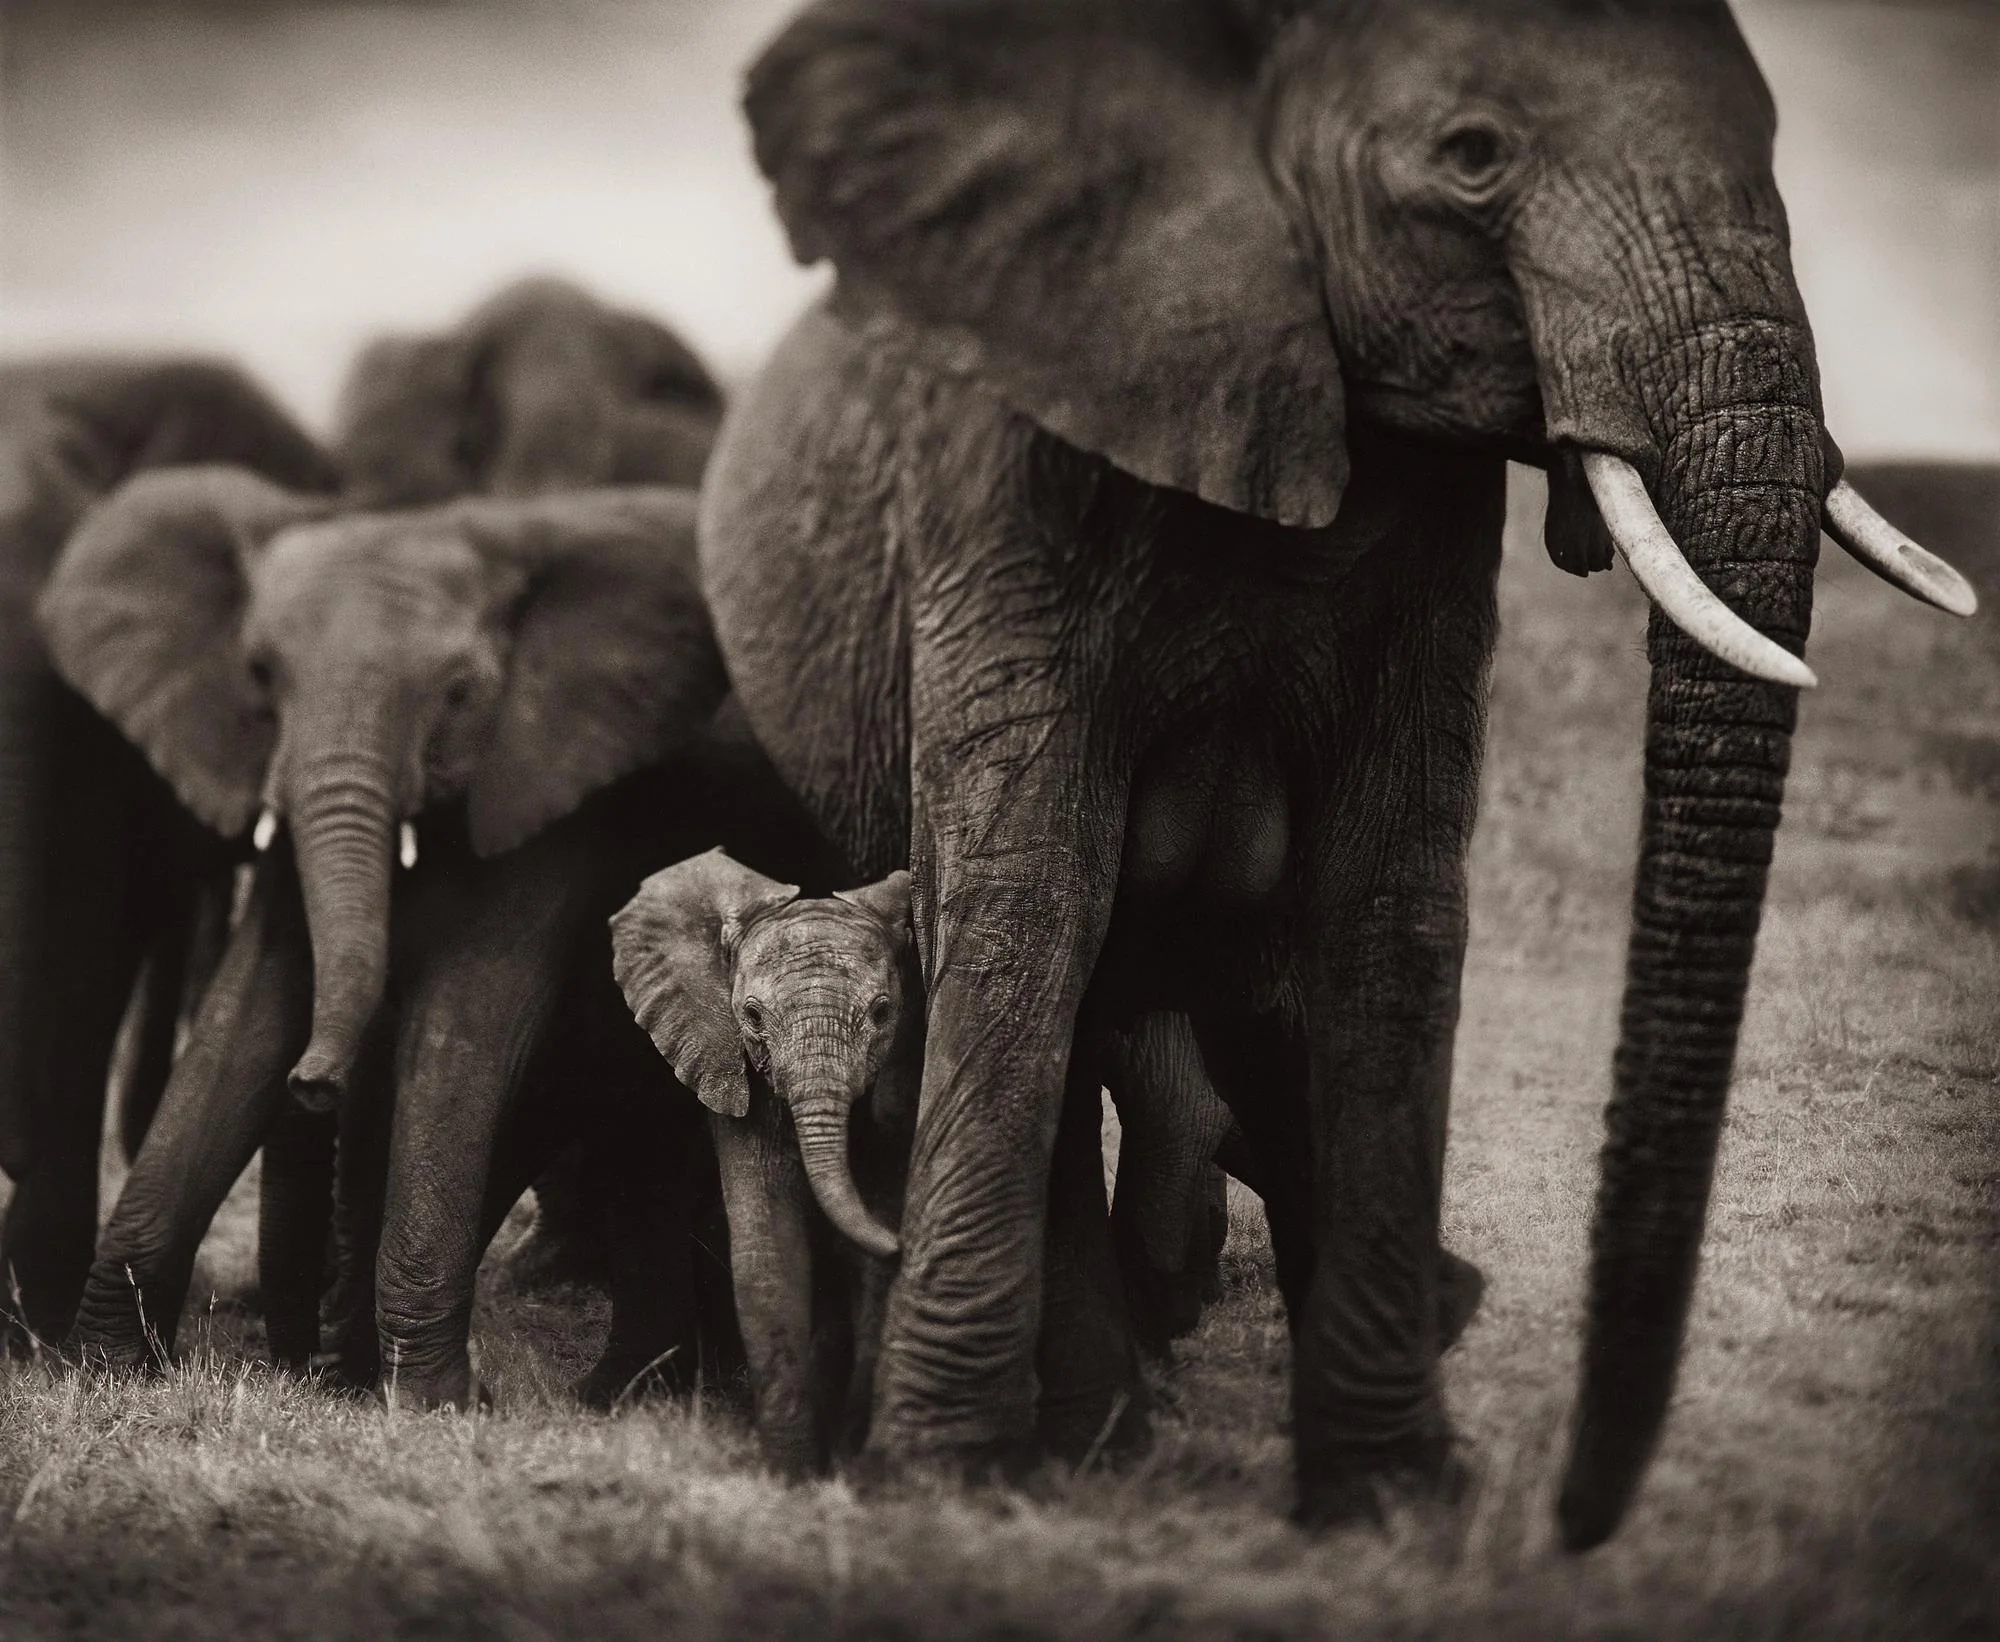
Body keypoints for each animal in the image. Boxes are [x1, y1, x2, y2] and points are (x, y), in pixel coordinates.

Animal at [39, 471, 736, 1396]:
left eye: (461, 694)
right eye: (259, 675)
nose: (315, 1083)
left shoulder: (547, 792)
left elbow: (465, 1025)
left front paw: (437, 1402)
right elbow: (248, 1010)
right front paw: (103, 1369)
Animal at [697, 0, 1978, 1543]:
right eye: (1472, 156)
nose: (1573, 1523)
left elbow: (1384, 904)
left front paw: (1390, 1495)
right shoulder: (1001, 488)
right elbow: (1025, 900)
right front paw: (942, 1483)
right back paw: (1095, 1436)